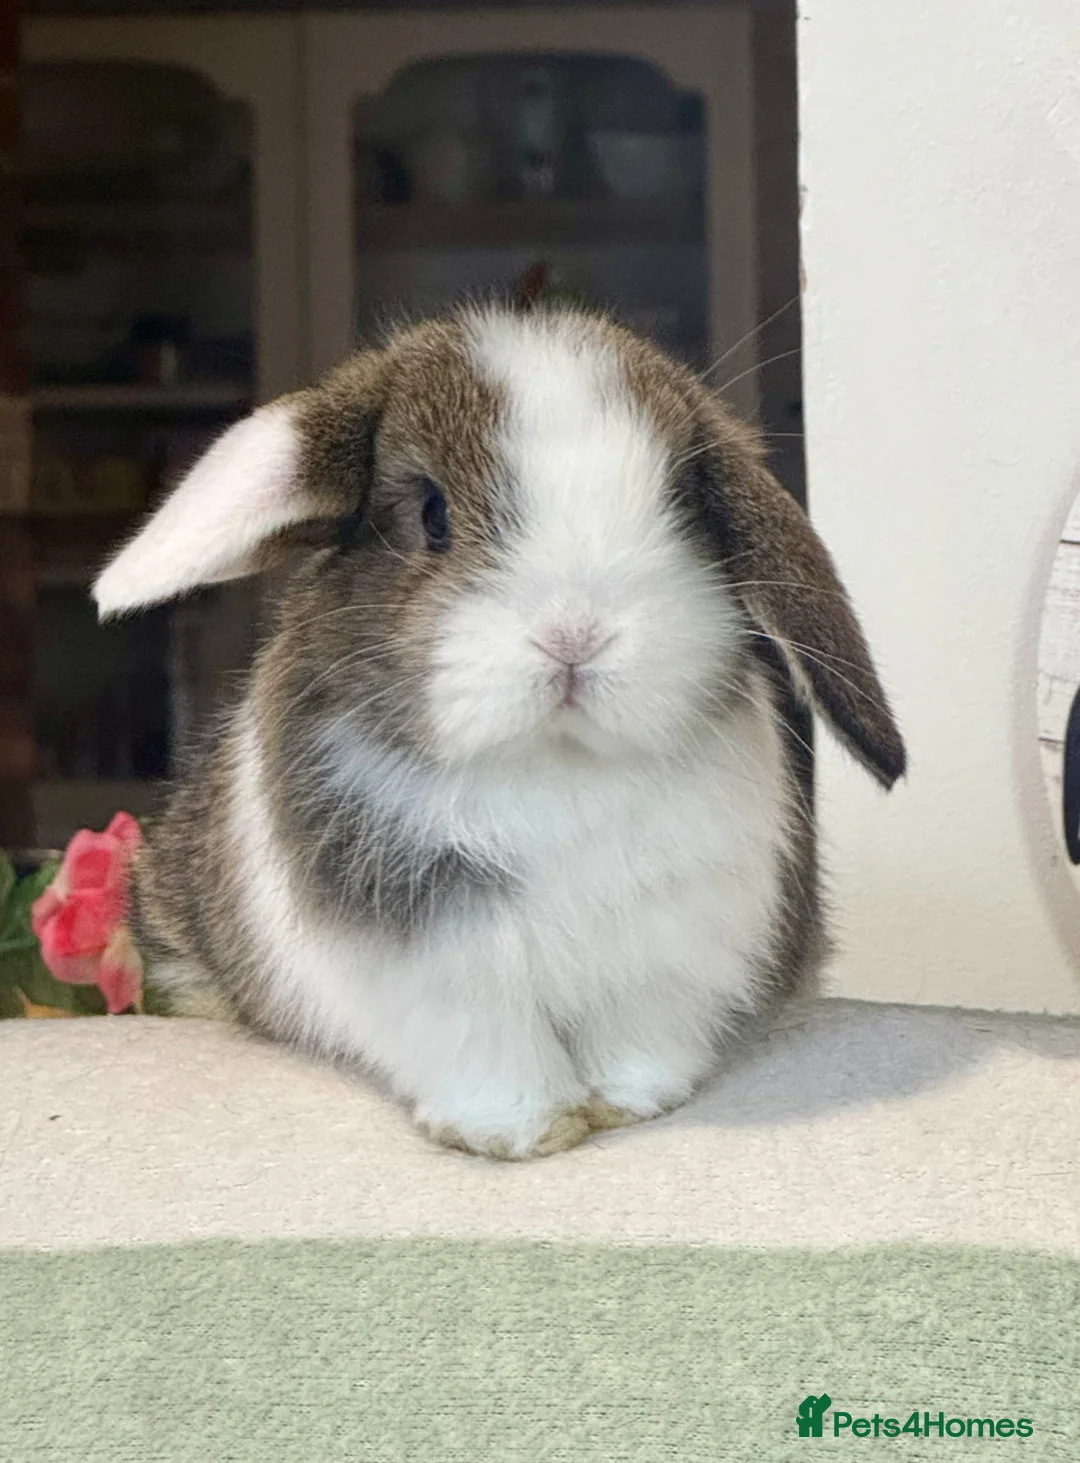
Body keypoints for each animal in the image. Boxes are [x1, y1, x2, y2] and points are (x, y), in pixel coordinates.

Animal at [93, 304, 905, 1160]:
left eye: (684, 508)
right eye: (433, 514)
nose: (575, 634)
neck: (554, 768)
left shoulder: (670, 945)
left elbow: (641, 1033)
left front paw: (629, 1102)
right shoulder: (434, 961)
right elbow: (486, 1047)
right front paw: (521, 1132)